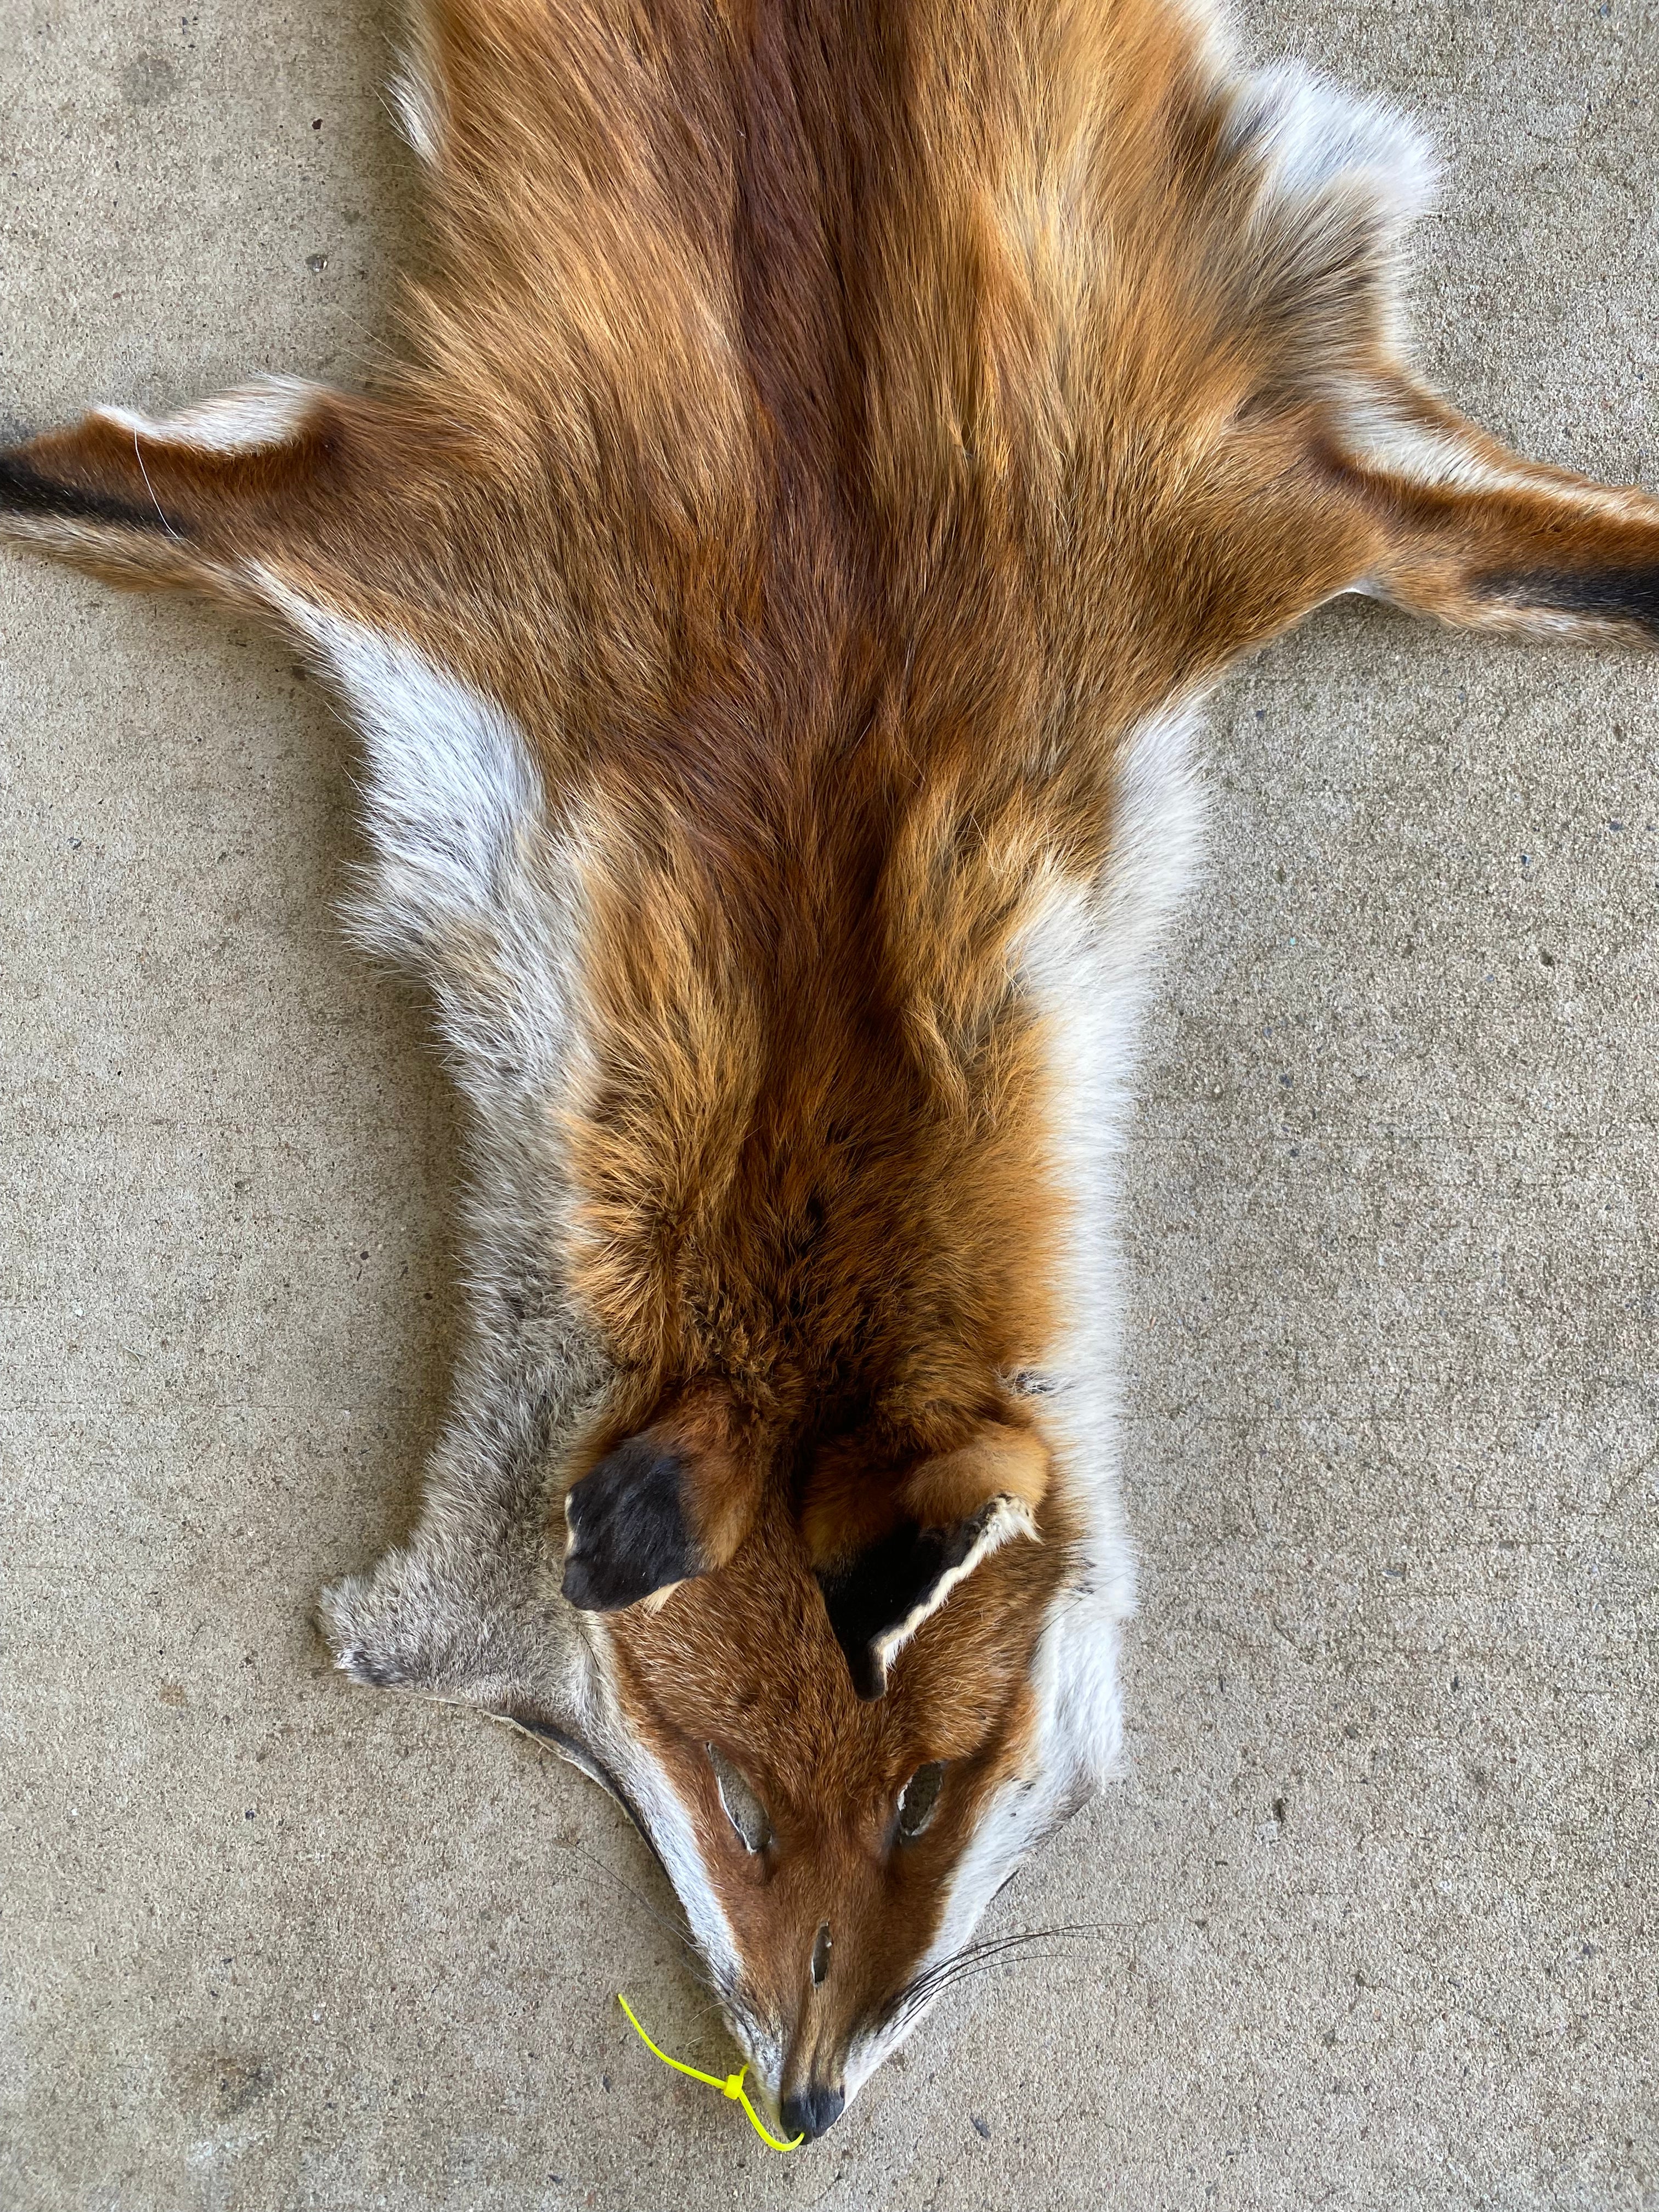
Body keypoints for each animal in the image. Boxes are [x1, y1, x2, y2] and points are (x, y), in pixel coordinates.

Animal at [4, 0, 1655, 2148]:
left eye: (922, 1795)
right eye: (736, 1801)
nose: (798, 2105)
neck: (826, 795)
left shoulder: (1222, 495)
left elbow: (1561, 563)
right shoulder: (430, 564)